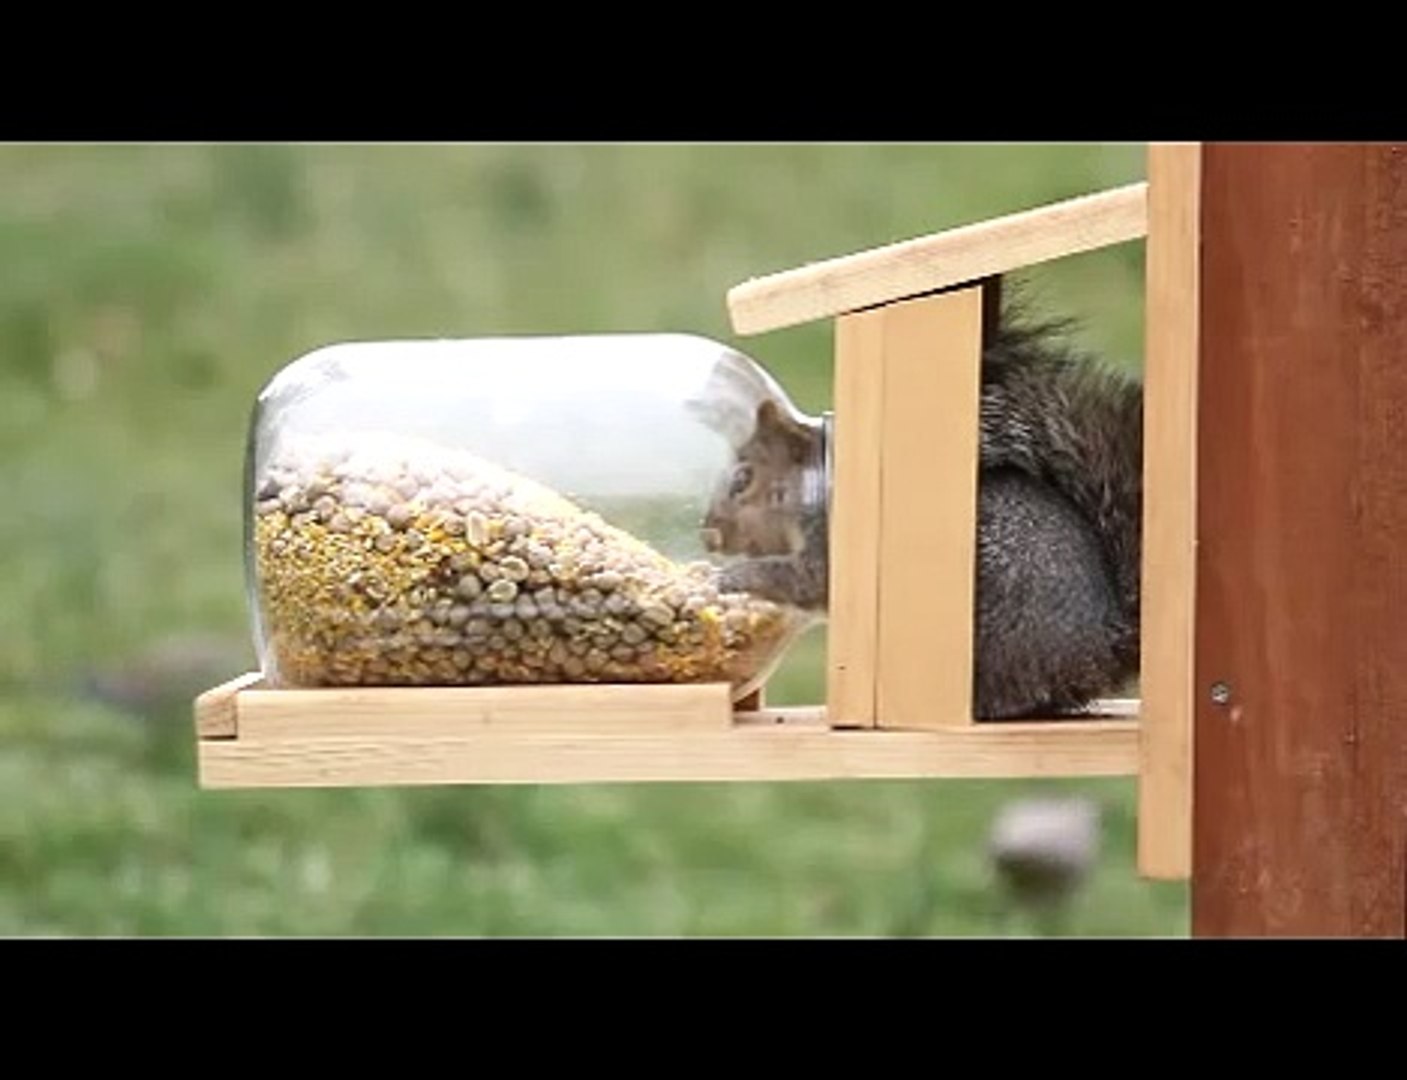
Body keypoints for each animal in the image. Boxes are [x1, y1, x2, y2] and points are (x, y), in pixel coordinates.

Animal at [700, 301, 1142, 720]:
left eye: (742, 480)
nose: (709, 533)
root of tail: (1101, 647)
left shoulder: (829, 549)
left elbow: (798, 579)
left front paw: (733, 577)